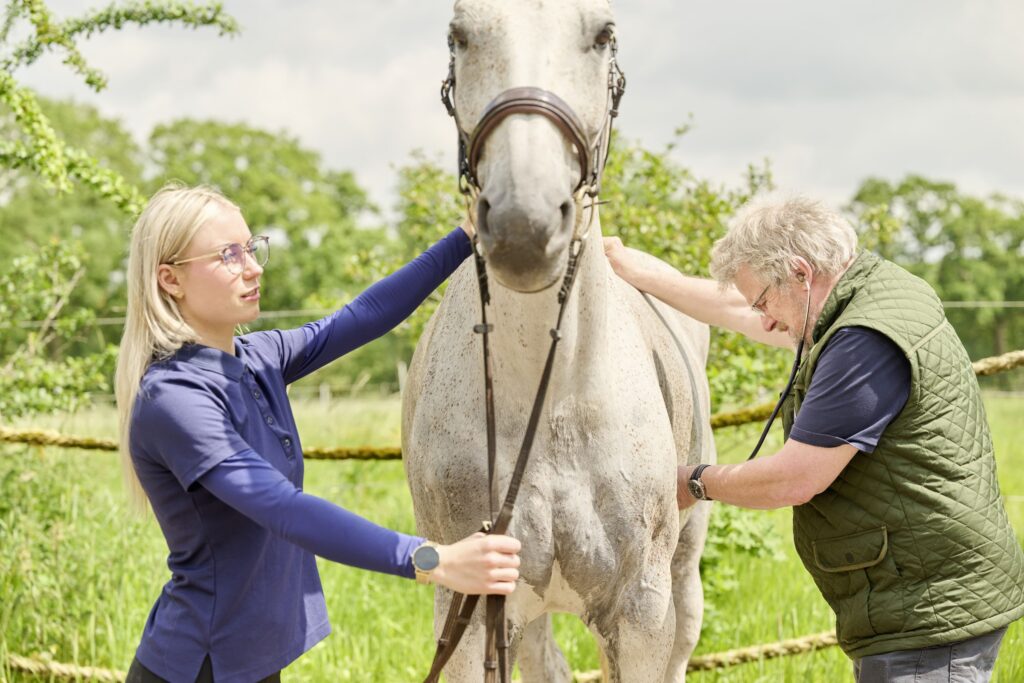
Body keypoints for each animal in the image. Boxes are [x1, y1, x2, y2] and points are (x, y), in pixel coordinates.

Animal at [402, 1, 715, 680]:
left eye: (603, 34)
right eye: (459, 35)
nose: (526, 223)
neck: (556, 397)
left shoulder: (640, 613)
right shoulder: (471, 605)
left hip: (682, 576)